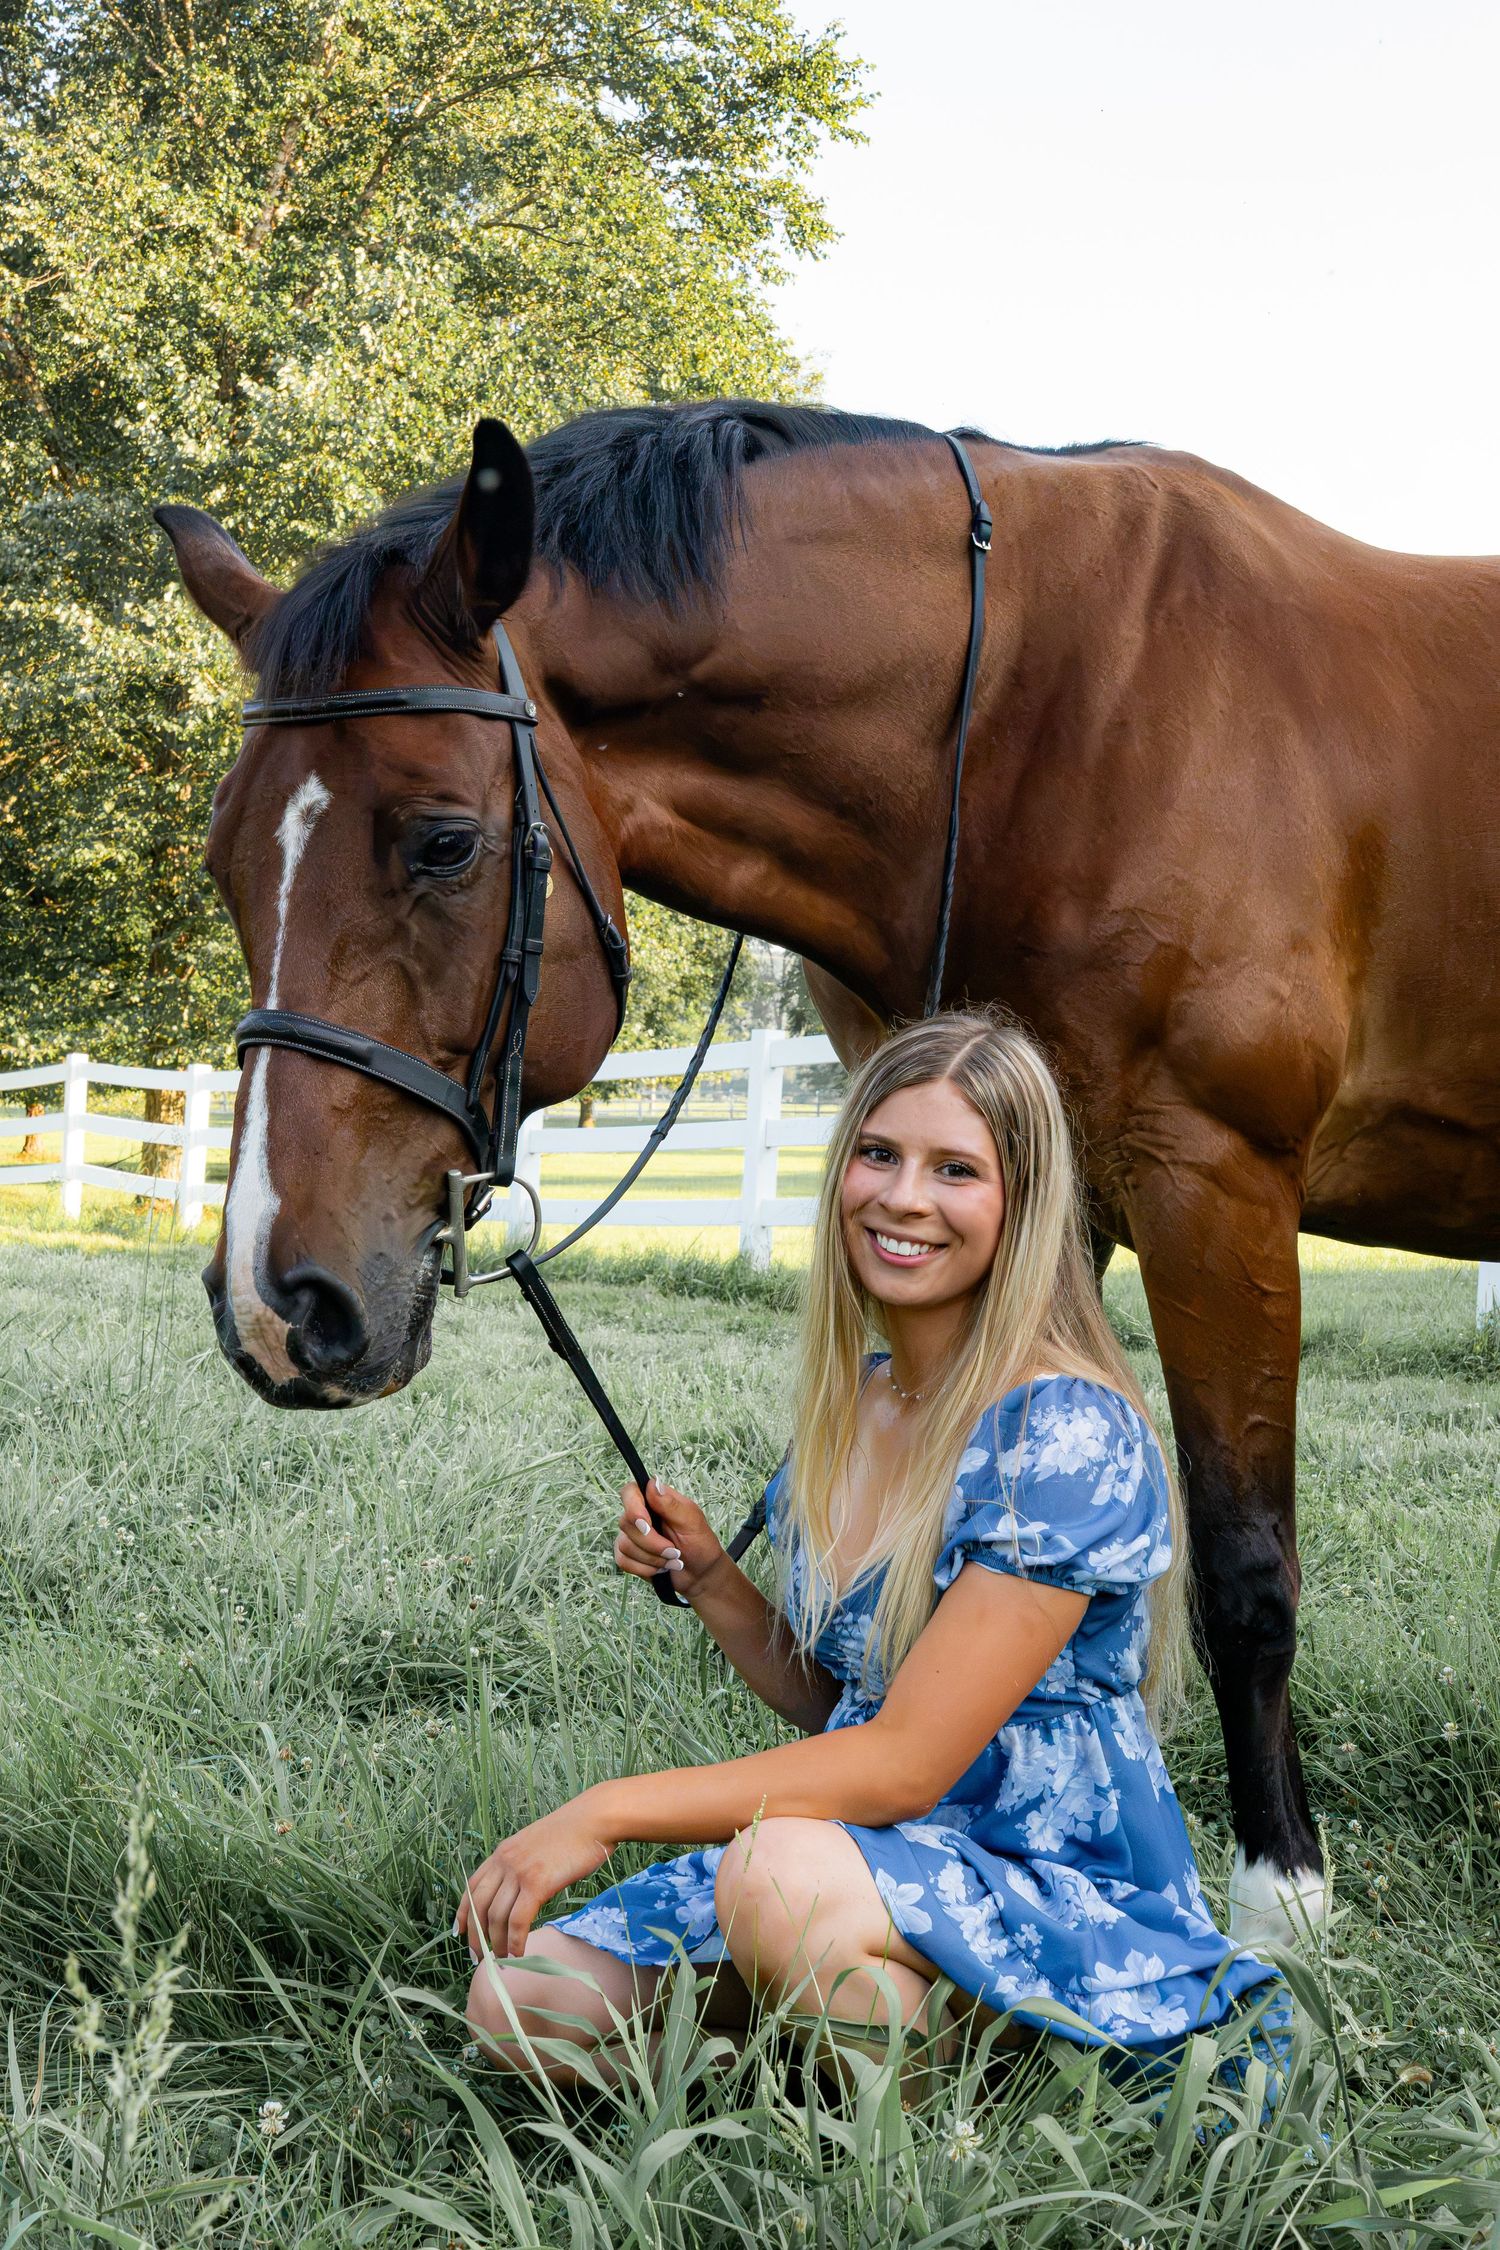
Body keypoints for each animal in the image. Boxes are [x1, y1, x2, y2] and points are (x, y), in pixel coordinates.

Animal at [155, 399, 1500, 1943]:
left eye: (442, 841)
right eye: (225, 859)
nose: (278, 1305)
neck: (1063, 707)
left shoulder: (1217, 1183)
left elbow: (1243, 1566)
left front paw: (1280, 1912)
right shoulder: (1043, 1192)